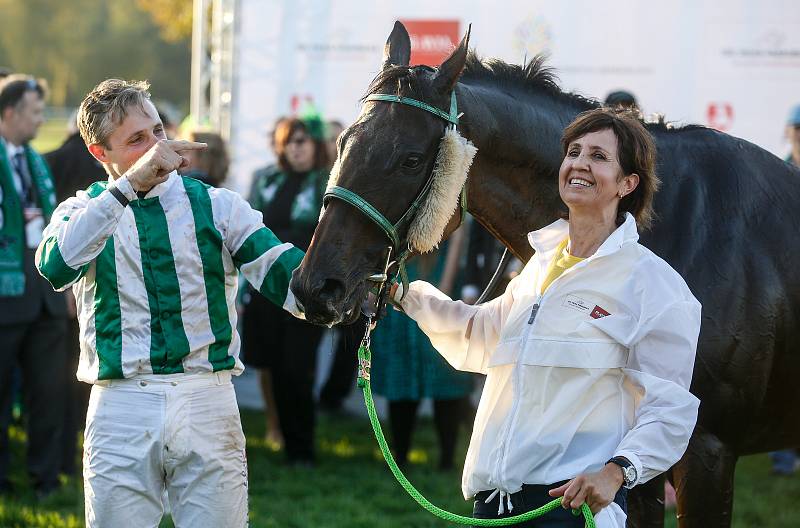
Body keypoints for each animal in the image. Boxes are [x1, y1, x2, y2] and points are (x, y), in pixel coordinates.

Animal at [292, 22, 800, 524]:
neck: (674, 223)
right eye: (343, 143)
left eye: (411, 159)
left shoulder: (707, 453)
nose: (316, 286)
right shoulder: (639, 477)